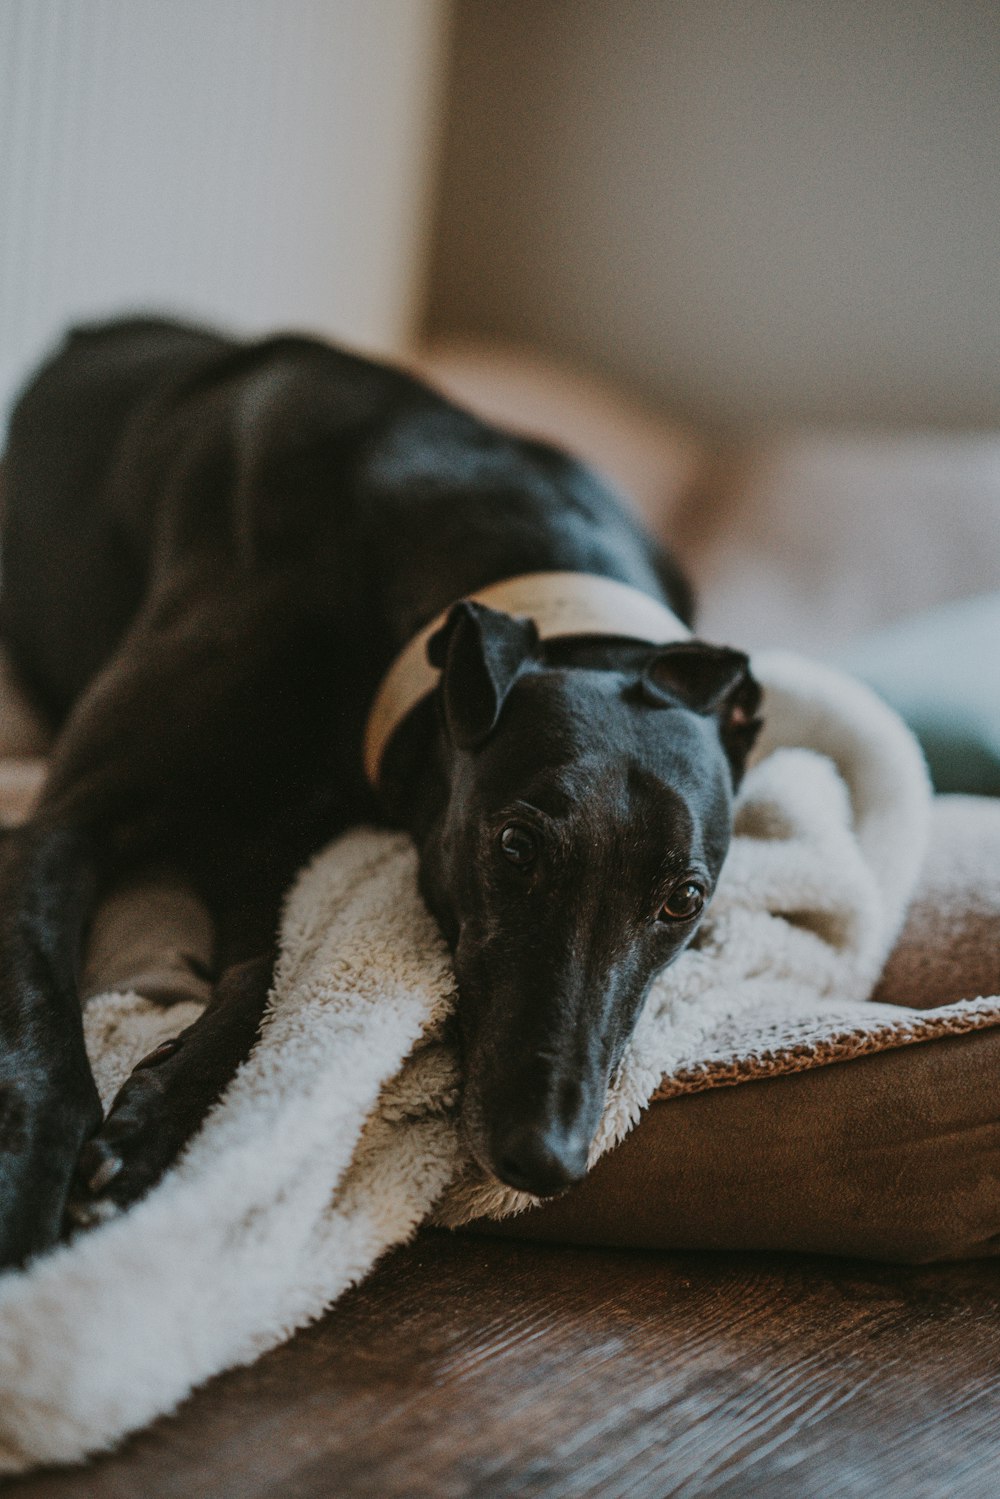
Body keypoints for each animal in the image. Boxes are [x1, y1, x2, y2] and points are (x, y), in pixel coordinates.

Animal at [0, 316, 758, 1265]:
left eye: (683, 899)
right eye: (516, 845)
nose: (545, 1158)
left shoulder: (268, 848)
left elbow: (268, 974)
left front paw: (149, 1125)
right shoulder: (58, 828)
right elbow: (41, 1031)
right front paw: (33, 1193)